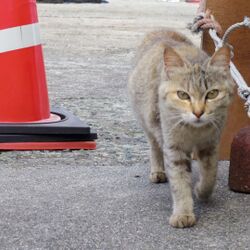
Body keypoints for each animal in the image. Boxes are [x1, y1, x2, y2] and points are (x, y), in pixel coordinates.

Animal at [129, 29, 234, 229]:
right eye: (183, 95)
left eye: (212, 94)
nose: (198, 112)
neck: (195, 131)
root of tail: (160, 31)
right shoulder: (174, 147)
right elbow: (179, 181)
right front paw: (183, 213)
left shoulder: (211, 144)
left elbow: (211, 172)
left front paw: (202, 190)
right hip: (148, 122)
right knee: (154, 146)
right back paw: (158, 170)